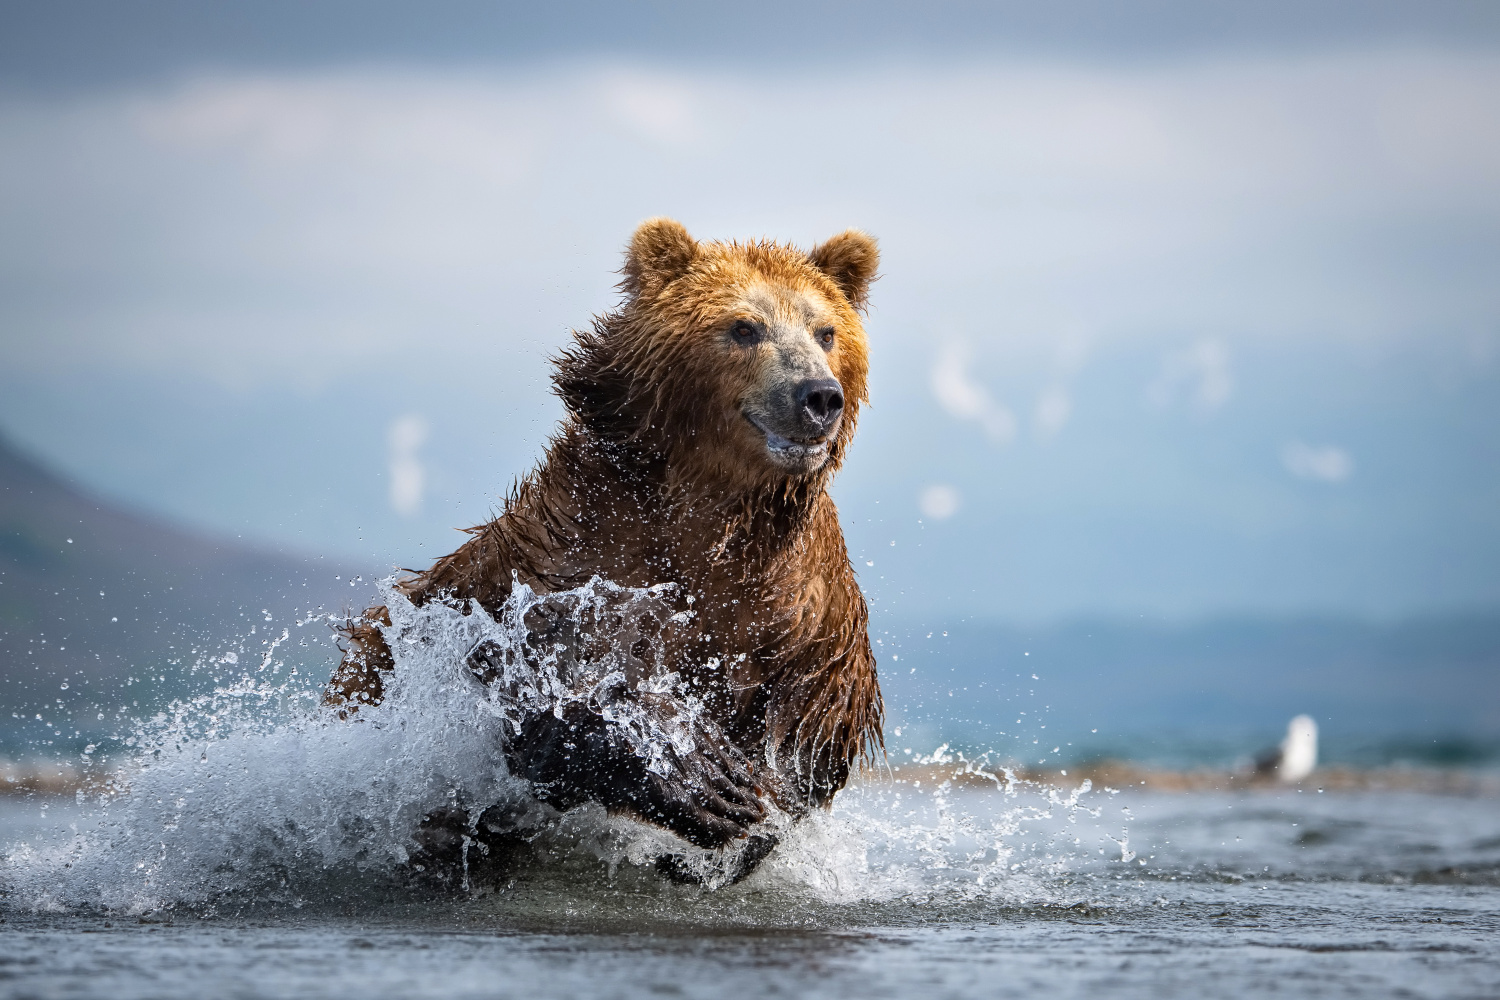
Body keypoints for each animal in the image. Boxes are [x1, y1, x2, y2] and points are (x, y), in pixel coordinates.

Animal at [328, 217, 882, 875]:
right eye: (744, 327)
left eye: (826, 330)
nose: (817, 395)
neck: (711, 511)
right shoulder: (575, 556)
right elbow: (533, 686)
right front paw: (697, 777)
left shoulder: (802, 612)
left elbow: (806, 747)